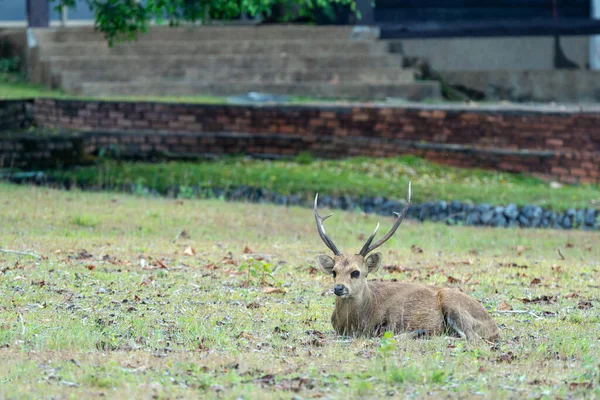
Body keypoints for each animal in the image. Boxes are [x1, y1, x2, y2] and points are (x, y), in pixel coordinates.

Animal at [316, 183, 500, 342]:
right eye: (334, 272)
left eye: (356, 272)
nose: (339, 288)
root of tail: (494, 327)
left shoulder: (390, 323)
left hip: (454, 303)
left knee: (473, 338)